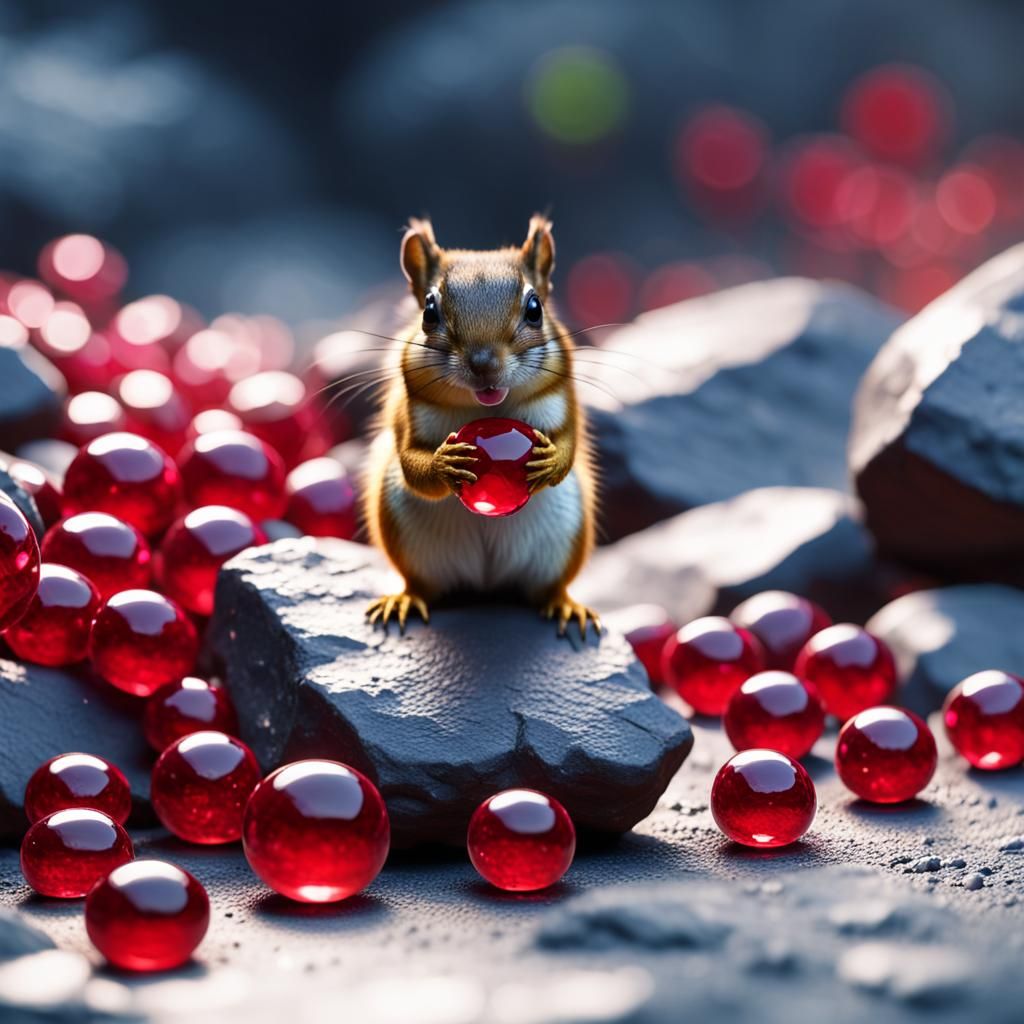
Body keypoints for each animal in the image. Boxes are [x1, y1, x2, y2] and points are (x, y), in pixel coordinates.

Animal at [363, 215, 600, 638]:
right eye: (429, 313)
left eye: (535, 309)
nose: (484, 365)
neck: (485, 407)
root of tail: (487, 585)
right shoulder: (405, 413)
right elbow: (411, 462)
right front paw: (443, 463)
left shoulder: (567, 400)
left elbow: (569, 443)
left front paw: (551, 460)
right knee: (421, 586)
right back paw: (403, 599)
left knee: (548, 589)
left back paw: (565, 606)